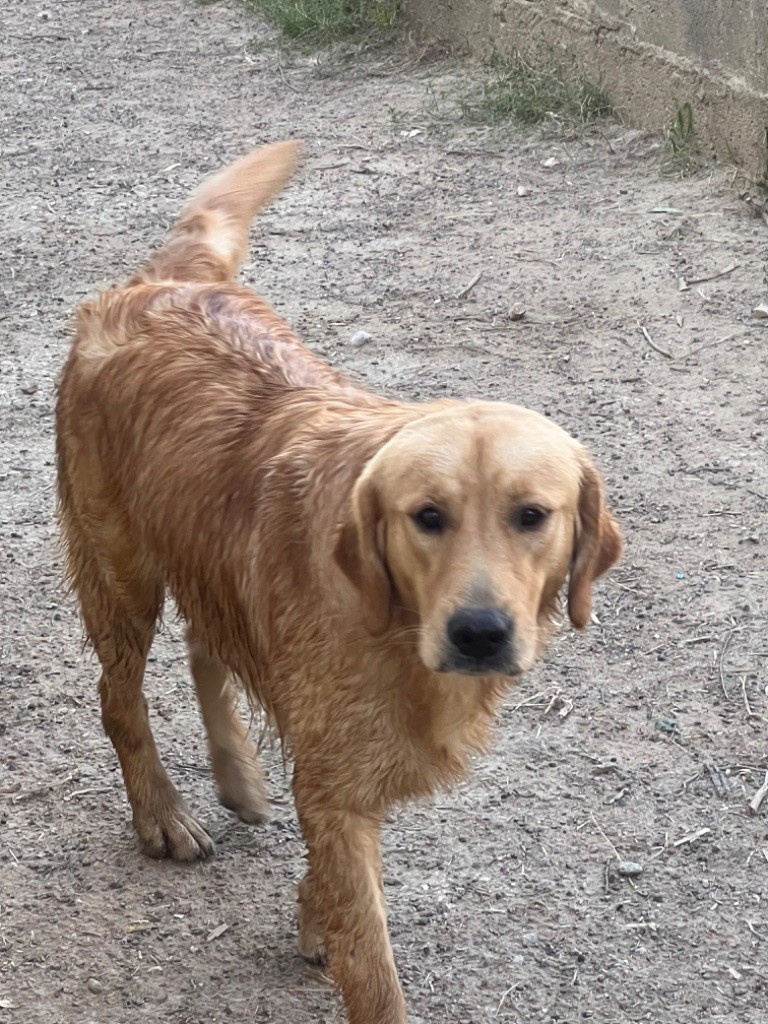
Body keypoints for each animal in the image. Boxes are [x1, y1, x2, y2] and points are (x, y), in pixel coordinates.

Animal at [54, 142, 622, 1024]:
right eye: (428, 516)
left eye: (532, 515)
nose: (480, 632)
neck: (395, 621)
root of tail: (160, 282)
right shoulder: (338, 777)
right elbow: (371, 960)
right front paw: (334, 930)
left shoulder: (348, 768)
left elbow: (337, 885)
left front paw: (312, 912)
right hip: (119, 569)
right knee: (120, 696)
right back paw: (162, 814)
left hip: (206, 558)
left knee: (207, 643)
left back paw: (236, 771)